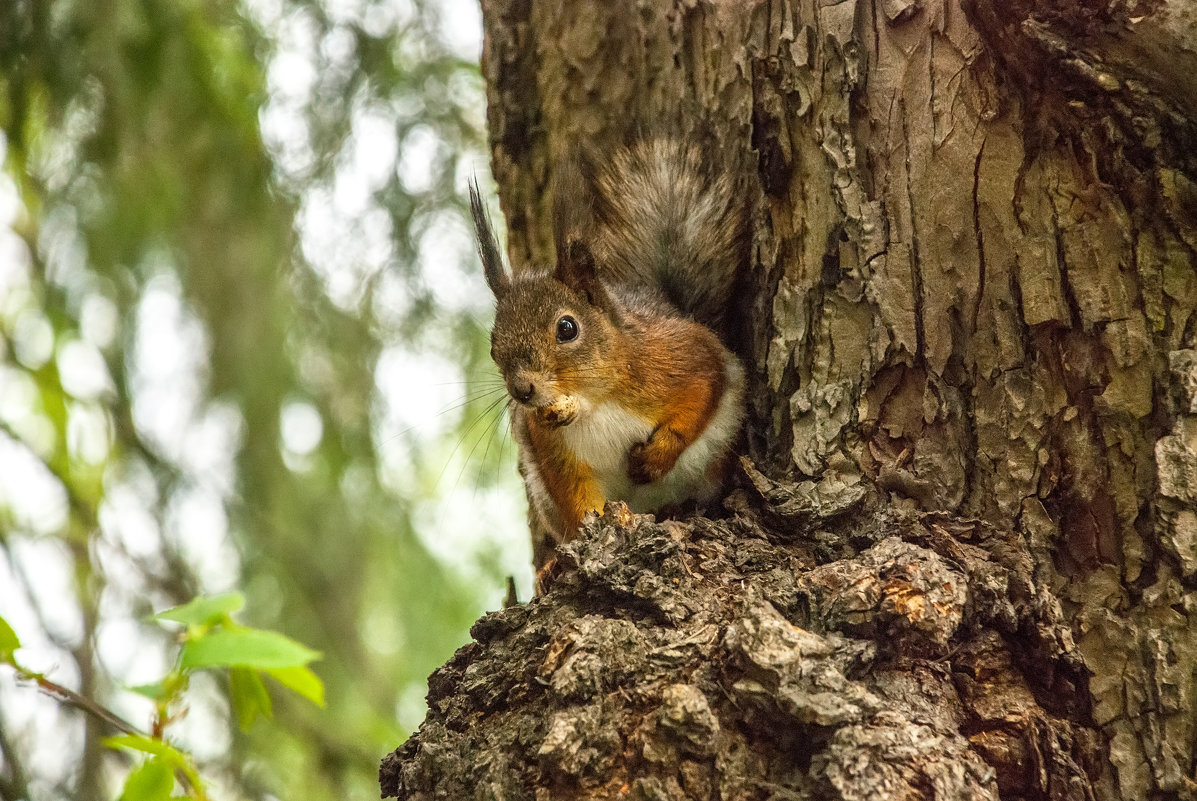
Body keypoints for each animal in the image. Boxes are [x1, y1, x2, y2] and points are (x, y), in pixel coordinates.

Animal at [469, 140, 742, 572]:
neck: (592, 402)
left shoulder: (679, 355)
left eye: (567, 328)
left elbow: (704, 388)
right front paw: (588, 537)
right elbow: (577, 498)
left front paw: (656, 457)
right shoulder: (551, 448)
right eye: (494, 346)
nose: (522, 391)